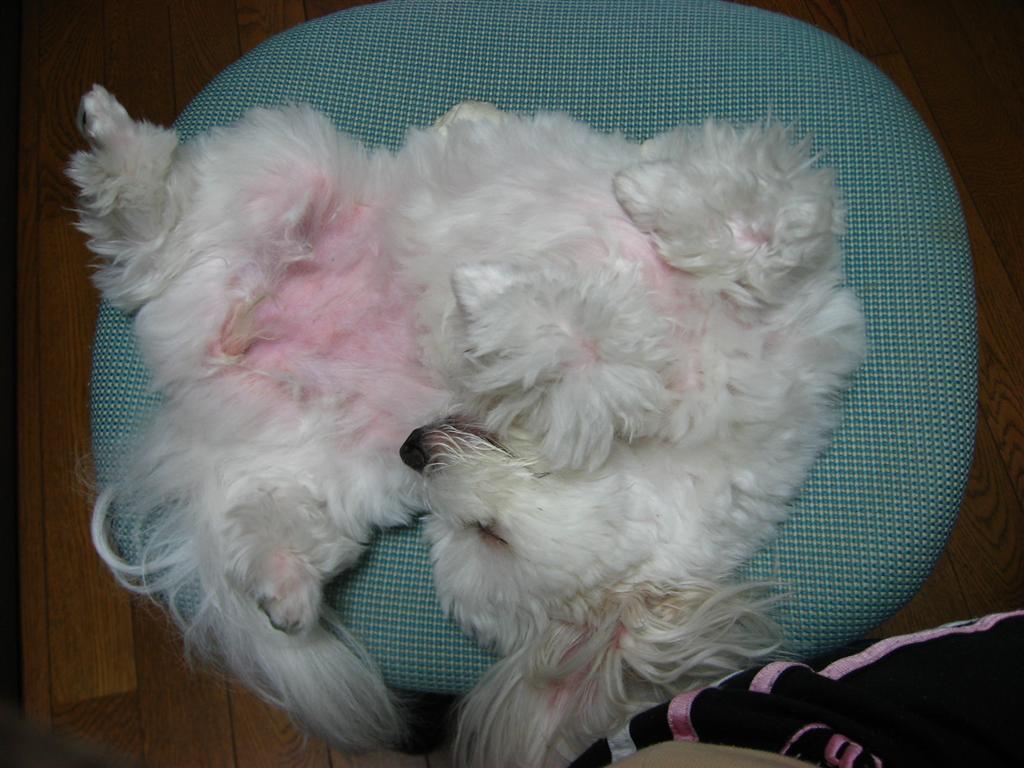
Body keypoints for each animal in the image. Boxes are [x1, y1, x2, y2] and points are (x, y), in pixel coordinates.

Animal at [70, 86, 864, 766]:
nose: (414, 447)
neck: (682, 442)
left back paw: (285, 588)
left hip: (318, 461)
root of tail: (191, 386)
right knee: (163, 228)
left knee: (272, 511)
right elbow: (733, 250)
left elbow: (621, 344)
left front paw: (517, 307)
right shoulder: (780, 274)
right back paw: (116, 141)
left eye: (480, 535)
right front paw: (603, 221)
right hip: (284, 171)